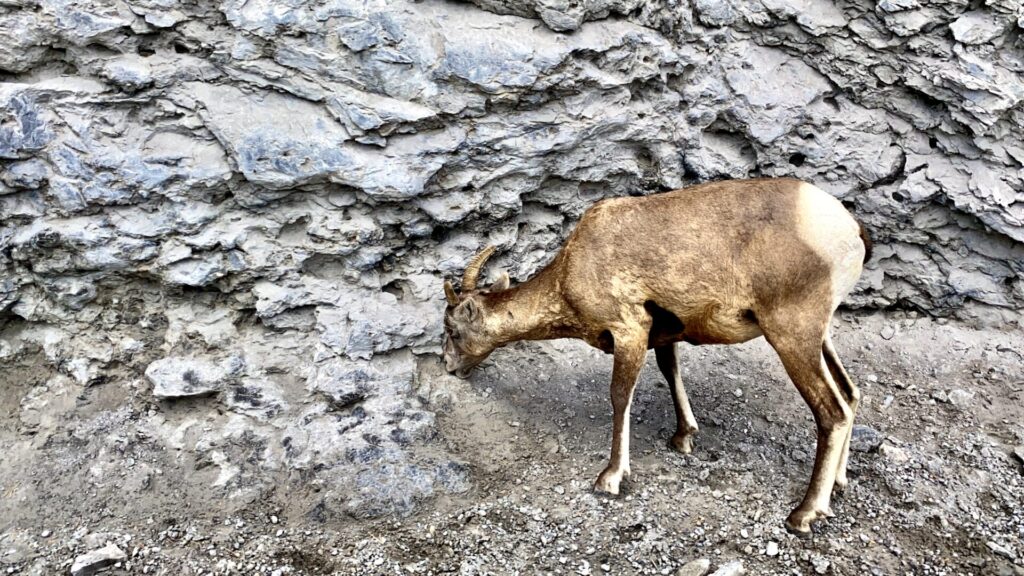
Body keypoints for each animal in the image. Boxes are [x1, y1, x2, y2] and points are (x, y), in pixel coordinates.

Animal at [442, 176, 872, 532]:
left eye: (452, 329)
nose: (448, 366)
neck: (571, 270)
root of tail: (848, 229)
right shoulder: (664, 336)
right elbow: (670, 372)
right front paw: (684, 438)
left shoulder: (629, 331)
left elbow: (620, 397)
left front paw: (610, 478)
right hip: (819, 337)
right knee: (850, 396)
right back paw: (838, 485)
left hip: (791, 335)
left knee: (832, 411)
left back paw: (804, 514)